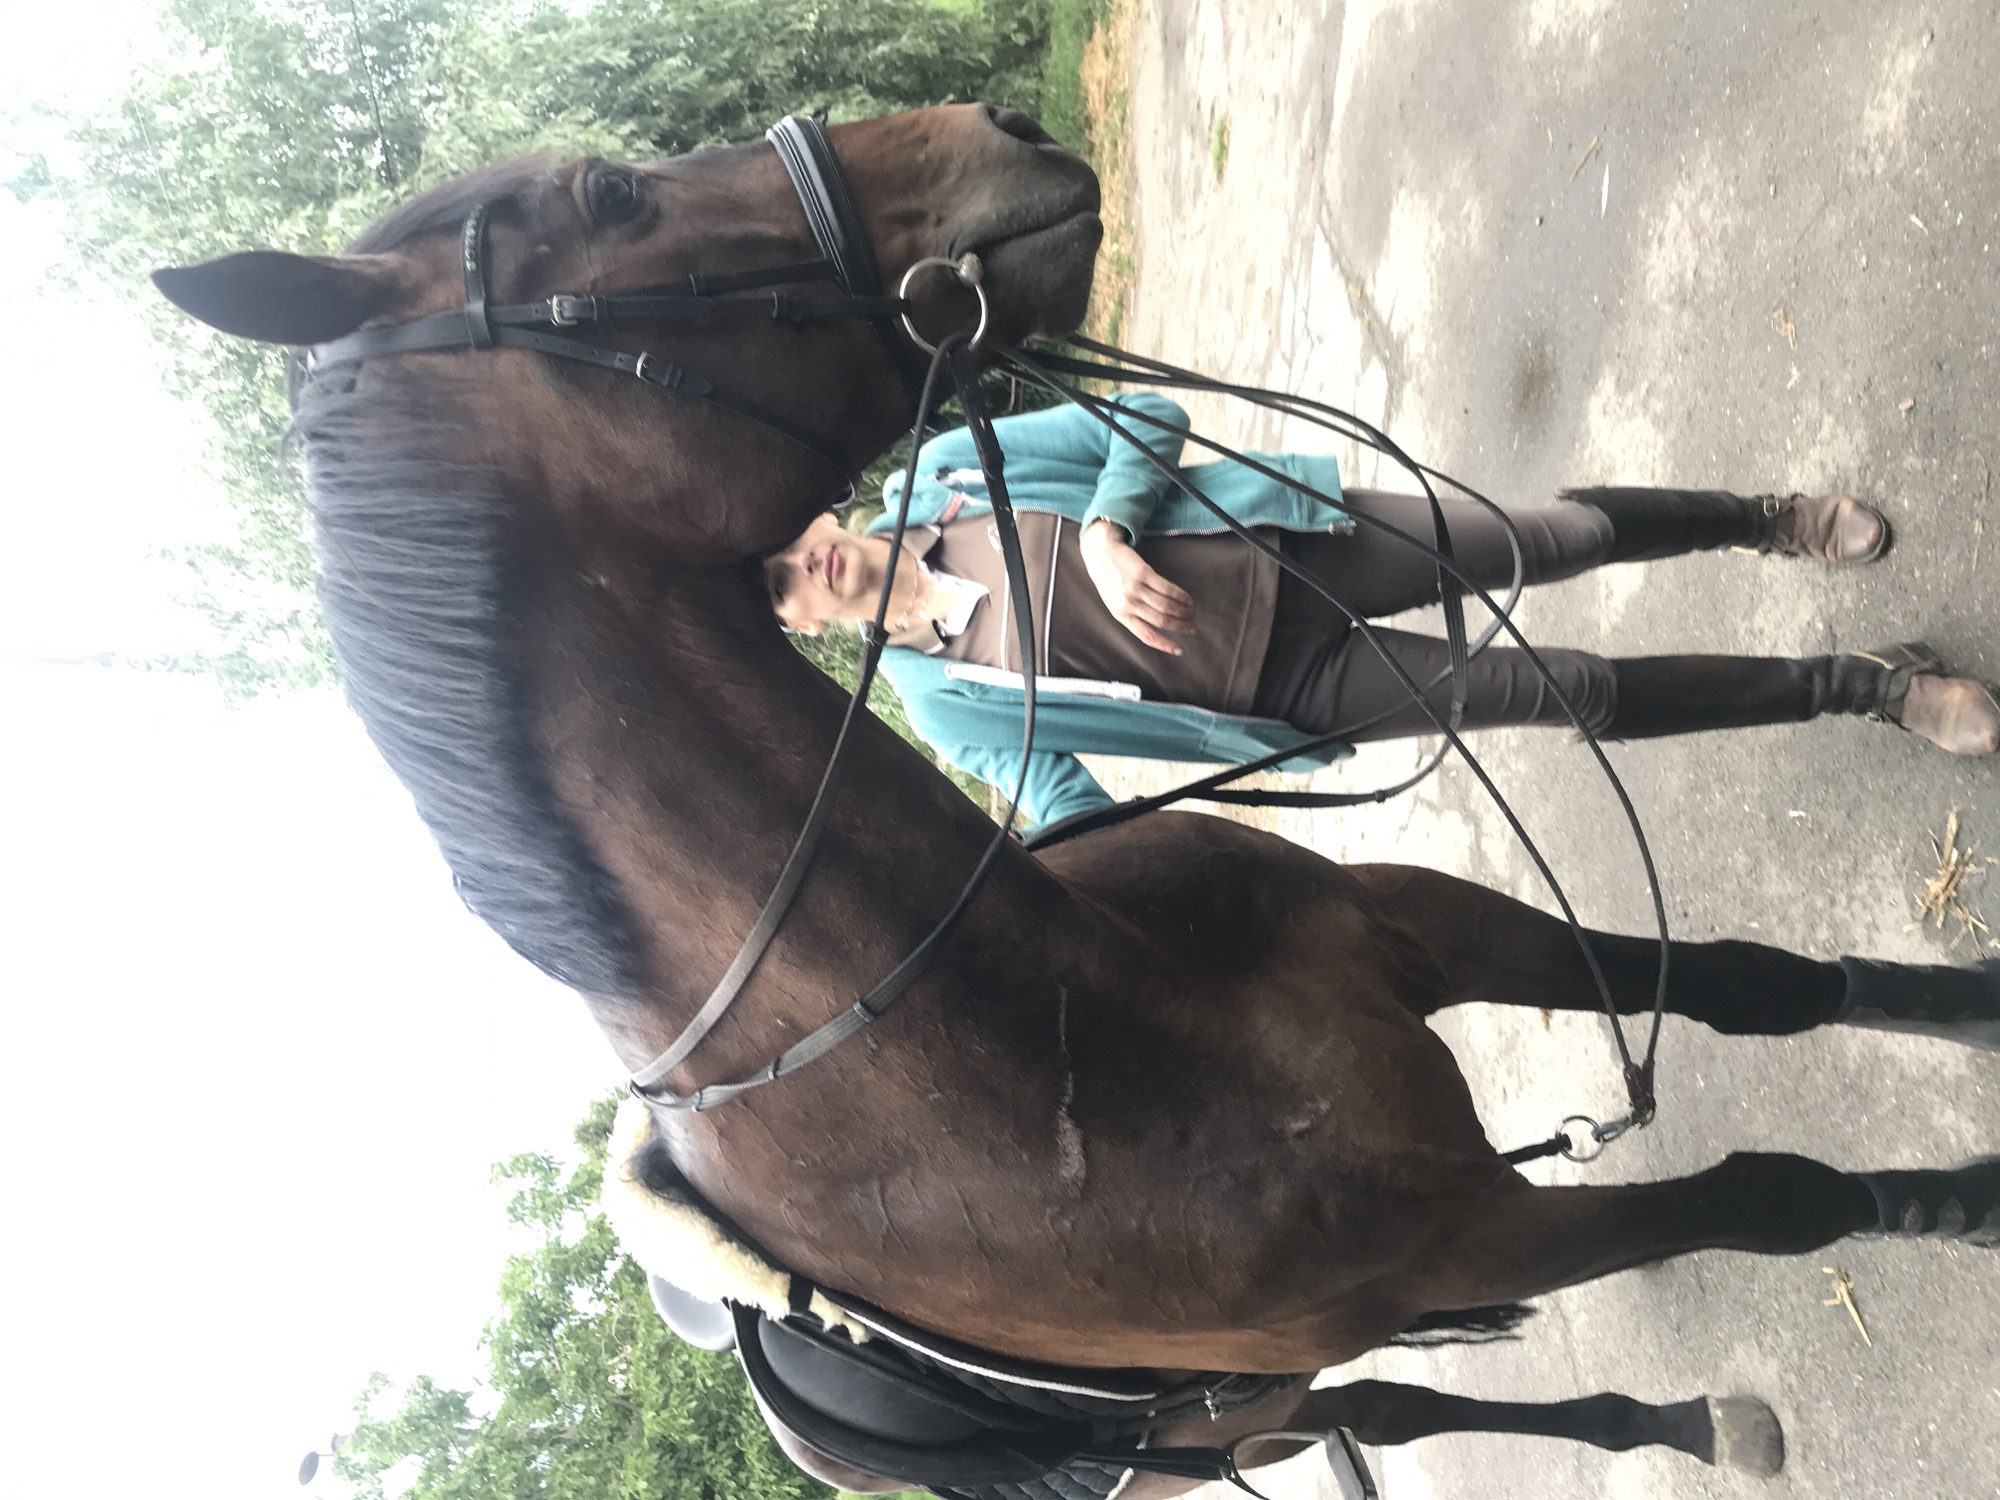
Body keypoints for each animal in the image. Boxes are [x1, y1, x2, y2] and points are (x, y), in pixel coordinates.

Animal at [154, 101, 1999, 1452]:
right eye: (612, 195)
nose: (1004, 121)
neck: (1045, 1027)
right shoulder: (1465, 1232)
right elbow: (1778, 1201)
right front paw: (1970, 1203)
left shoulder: (1422, 923)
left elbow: (1754, 985)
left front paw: (1965, 1008)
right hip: (1234, 1420)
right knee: (1394, 1414)